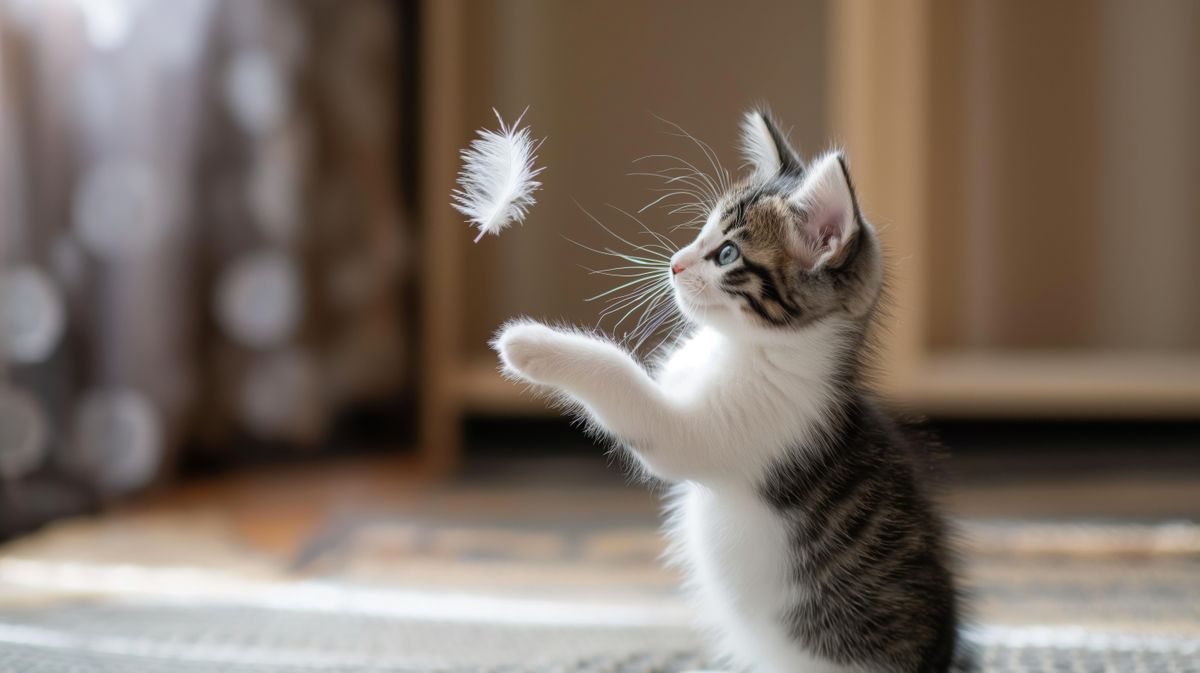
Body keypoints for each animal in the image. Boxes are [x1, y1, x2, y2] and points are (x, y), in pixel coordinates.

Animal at [492, 111, 960, 671]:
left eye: (728, 253)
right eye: (703, 231)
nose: (674, 262)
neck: (743, 348)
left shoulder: (725, 430)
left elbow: (623, 379)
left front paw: (529, 344)